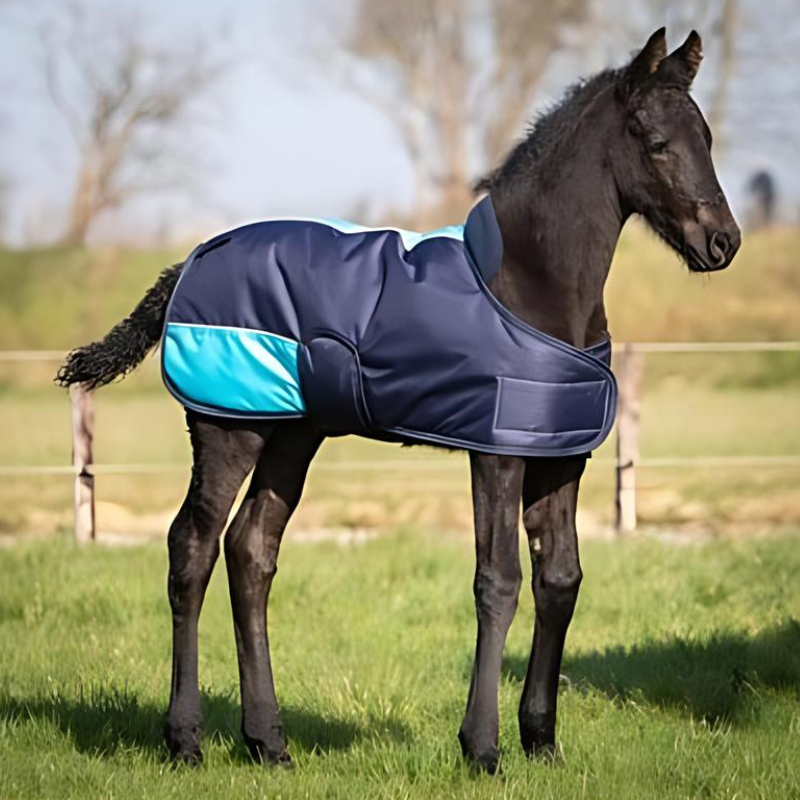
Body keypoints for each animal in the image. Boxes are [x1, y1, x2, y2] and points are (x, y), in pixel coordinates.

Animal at [56, 28, 740, 773]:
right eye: (655, 140)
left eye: (707, 136)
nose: (723, 242)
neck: (528, 284)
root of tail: (190, 263)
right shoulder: (496, 453)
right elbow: (498, 582)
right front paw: (482, 748)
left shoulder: (561, 456)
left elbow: (560, 579)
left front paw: (542, 741)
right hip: (227, 427)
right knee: (193, 549)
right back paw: (185, 741)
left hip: (292, 434)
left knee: (250, 551)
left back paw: (269, 742)